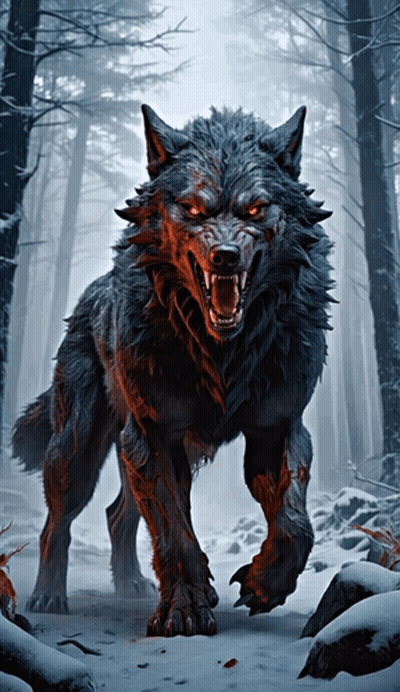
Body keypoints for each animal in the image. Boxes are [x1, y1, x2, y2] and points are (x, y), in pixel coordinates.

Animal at [13, 104, 333, 636]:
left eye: (255, 210)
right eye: (193, 210)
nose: (225, 258)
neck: (223, 353)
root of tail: (89, 295)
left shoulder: (276, 429)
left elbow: (295, 526)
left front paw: (266, 584)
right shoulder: (156, 435)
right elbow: (174, 533)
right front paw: (184, 608)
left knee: (116, 514)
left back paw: (131, 585)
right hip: (78, 449)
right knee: (57, 522)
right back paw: (48, 595)